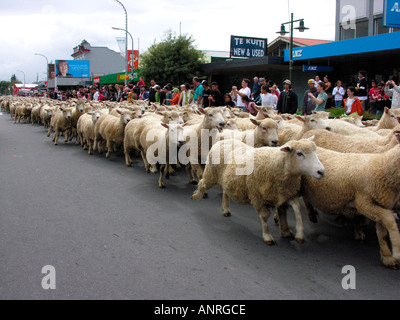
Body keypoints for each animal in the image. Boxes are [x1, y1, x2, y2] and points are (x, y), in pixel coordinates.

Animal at [191, 138, 324, 245]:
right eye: (299, 153)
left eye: (315, 151)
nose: (321, 172)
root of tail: (222, 141)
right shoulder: (257, 197)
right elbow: (265, 216)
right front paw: (267, 237)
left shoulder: (285, 194)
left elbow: (297, 208)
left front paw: (299, 234)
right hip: (211, 173)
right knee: (202, 183)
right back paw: (197, 196)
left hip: (227, 179)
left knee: (225, 192)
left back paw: (226, 209)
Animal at [302, 131, 400, 268]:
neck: (382, 167)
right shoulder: (364, 202)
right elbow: (389, 221)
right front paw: (396, 253)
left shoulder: (381, 204)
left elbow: (381, 231)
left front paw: (386, 257)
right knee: (305, 200)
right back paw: (311, 214)